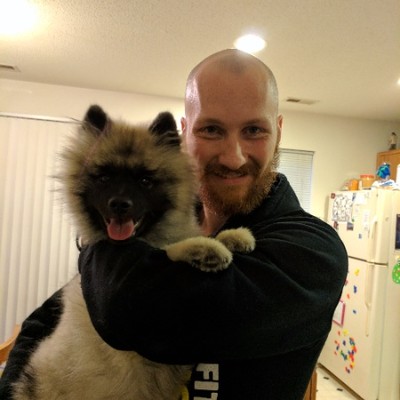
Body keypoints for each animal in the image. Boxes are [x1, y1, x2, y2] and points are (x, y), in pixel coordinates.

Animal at [0, 105, 255, 399]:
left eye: (145, 180)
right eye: (104, 178)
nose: (120, 204)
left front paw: (234, 235)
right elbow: (169, 250)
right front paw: (205, 248)